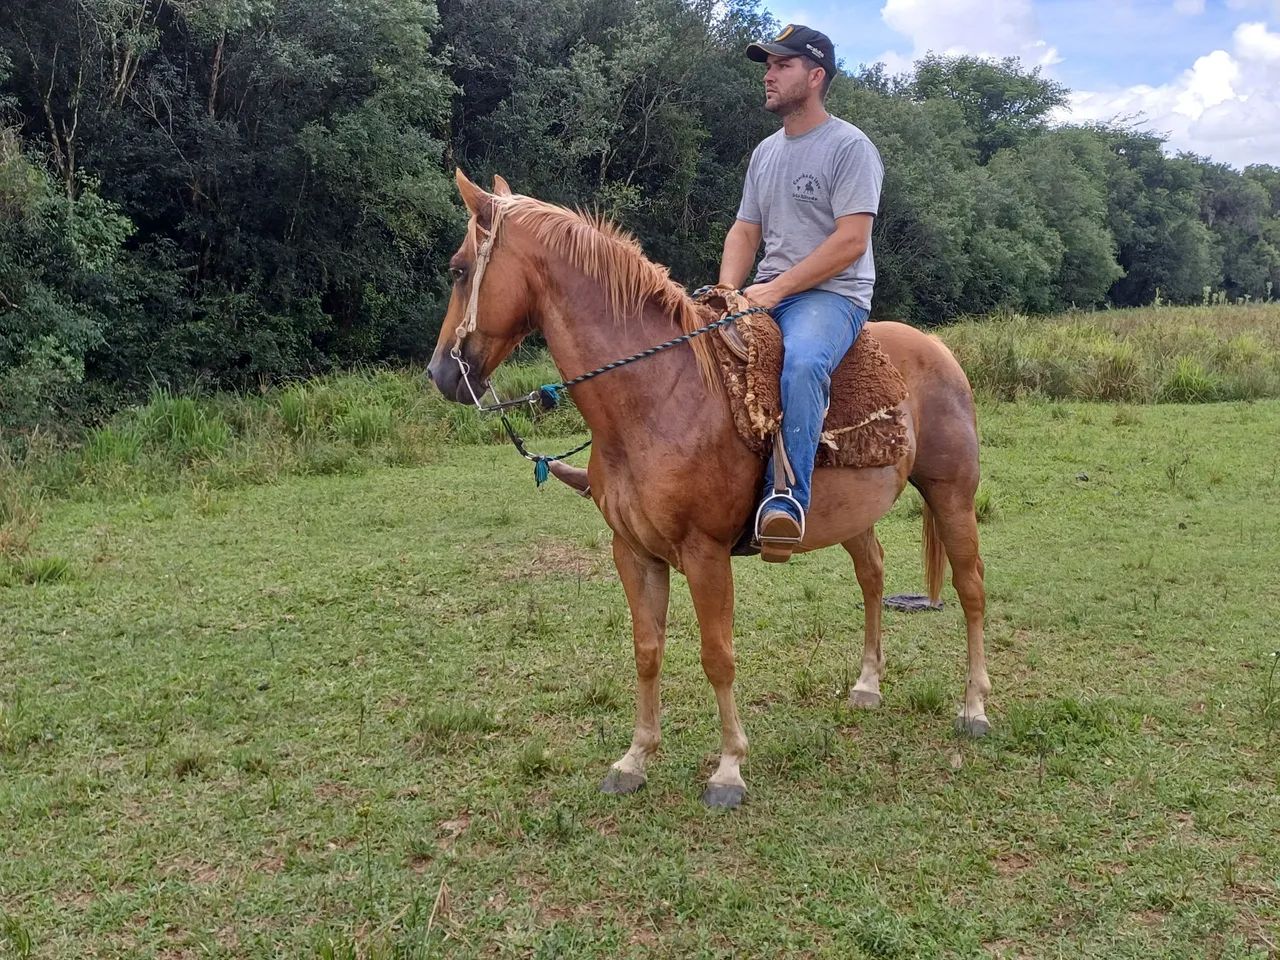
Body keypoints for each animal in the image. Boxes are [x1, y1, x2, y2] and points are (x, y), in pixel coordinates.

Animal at [427, 170, 989, 809]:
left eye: (458, 268)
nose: (441, 375)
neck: (657, 395)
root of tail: (938, 350)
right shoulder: (634, 552)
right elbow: (647, 651)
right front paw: (634, 758)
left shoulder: (705, 553)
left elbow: (717, 657)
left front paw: (728, 770)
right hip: (856, 514)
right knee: (872, 576)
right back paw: (868, 685)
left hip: (952, 495)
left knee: (971, 588)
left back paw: (974, 708)